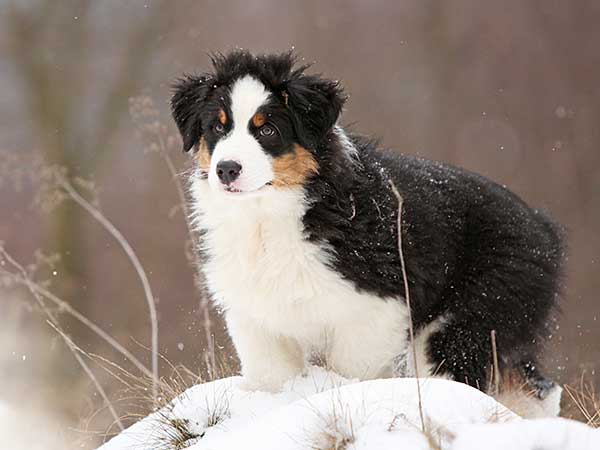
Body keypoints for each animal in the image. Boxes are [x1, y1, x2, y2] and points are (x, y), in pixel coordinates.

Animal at [171, 51, 564, 416]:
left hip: (470, 317)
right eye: (217, 127)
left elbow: (352, 370)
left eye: (267, 130)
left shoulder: (377, 307)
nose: (226, 169)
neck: (268, 217)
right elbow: (272, 377)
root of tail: (545, 228)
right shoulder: (256, 316)